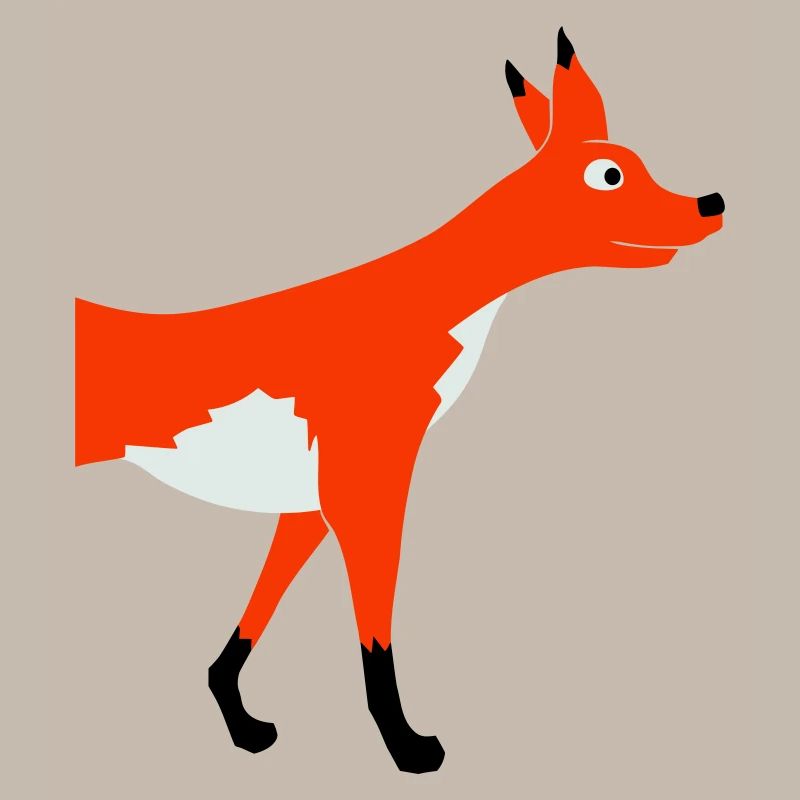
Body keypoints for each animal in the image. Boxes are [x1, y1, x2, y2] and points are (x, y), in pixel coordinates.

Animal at [74, 29, 725, 773]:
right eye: (610, 175)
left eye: (642, 166)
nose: (711, 202)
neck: (415, 307)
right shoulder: (368, 493)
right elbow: (375, 639)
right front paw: (405, 746)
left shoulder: (311, 504)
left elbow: (249, 624)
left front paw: (239, 719)